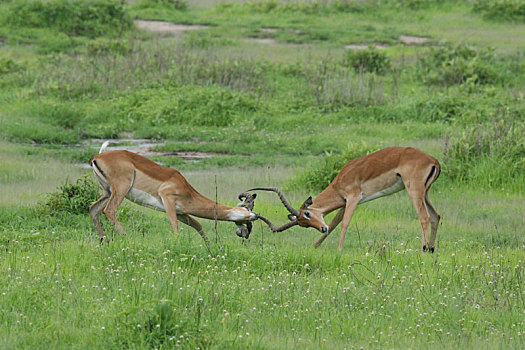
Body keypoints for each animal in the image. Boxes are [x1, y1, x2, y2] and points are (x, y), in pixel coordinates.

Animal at [90, 142, 258, 243]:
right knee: (109, 210)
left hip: (107, 192)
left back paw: (103, 240)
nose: (255, 216)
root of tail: (96, 157)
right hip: (120, 191)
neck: (185, 188)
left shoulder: (181, 212)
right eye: (247, 209)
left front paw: (210, 245)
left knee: (93, 209)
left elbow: (198, 225)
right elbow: (175, 226)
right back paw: (127, 238)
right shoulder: (168, 201)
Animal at [248, 146, 440, 253]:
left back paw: (422, 251)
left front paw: (339, 250)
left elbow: (345, 223)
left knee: (424, 218)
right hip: (425, 193)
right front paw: (314, 247)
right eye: (303, 223)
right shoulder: (344, 203)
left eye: (307, 214)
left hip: (414, 191)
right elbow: (334, 223)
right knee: (436, 216)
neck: (339, 181)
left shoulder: (353, 198)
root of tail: (433, 160)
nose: (322, 228)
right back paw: (431, 249)